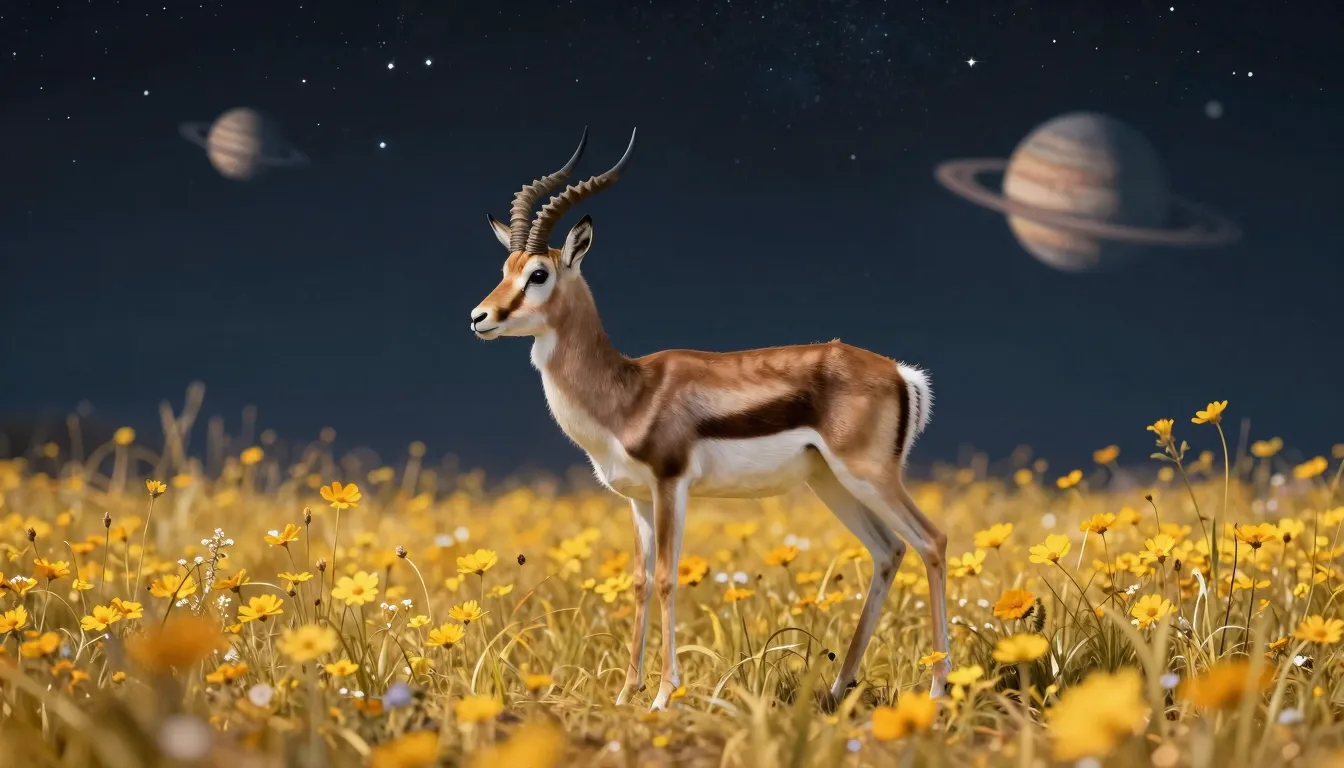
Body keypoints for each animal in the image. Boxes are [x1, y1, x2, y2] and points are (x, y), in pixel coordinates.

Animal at [469, 128, 950, 710]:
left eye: (537, 274)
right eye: (504, 271)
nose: (479, 317)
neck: (628, 391)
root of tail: (901, 373)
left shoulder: (670, 485)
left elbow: (667, 578)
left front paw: (663, 696)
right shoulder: (636, 499)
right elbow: (639, 581)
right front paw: (626, 694)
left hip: (870, 476)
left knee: (932, 541)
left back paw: (938, 687)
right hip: (831, 484)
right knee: (888, 550)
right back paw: (837, 689)